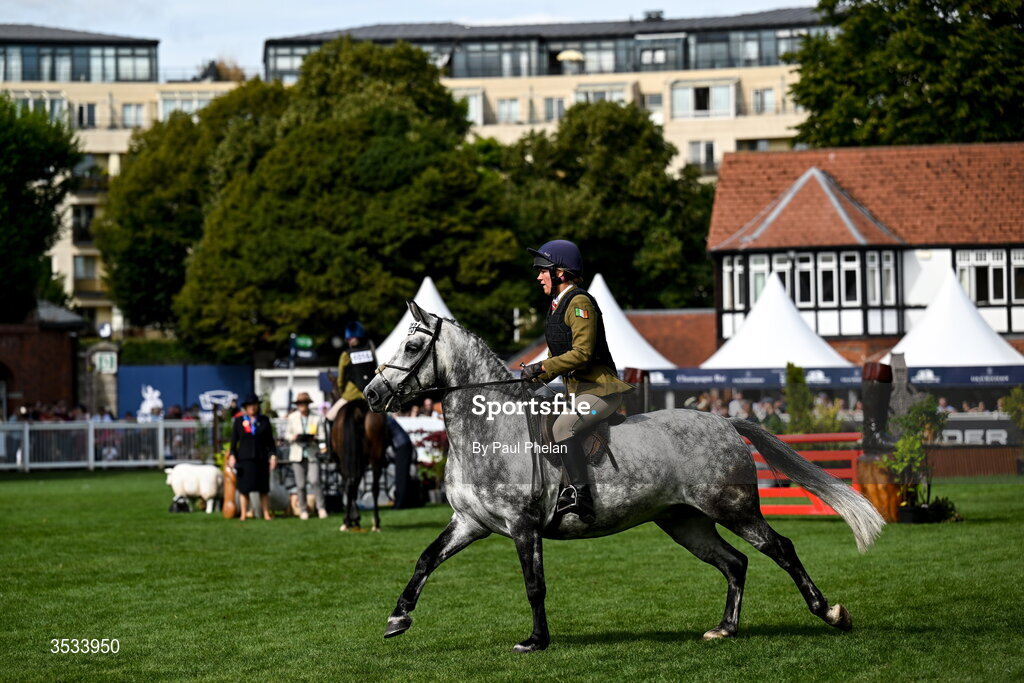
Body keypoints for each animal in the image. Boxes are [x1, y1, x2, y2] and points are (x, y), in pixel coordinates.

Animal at [329, 395, 388, 532]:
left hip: (345, 461)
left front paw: (353, 518)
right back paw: (375, 523)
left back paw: (347, 521)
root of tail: (357, 408)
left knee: (349, 485)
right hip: (375, 458)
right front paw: (355, 518)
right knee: (374, 488)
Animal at [364, 301, 885, 653]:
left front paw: (536, 641)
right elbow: (425, 560)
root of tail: (722, 421)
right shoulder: (470, 523)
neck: (490, 428)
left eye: (412, 345)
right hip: (684, 522)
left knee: (781, 549)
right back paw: (725, 628)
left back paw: (830, 612)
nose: (371, 394)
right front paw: (396, 619)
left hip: (733, 509)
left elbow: (534, 584)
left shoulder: (523, 526)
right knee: (735, 563)